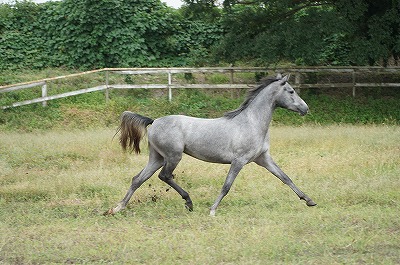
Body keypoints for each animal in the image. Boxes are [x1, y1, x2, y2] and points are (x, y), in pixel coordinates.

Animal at [104, 73, 318, 216]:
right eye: (291, 91)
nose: (306, 109)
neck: (251, 123)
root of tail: (154, 121)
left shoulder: (263, 158)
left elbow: (285, 178)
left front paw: (309, 200)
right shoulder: (239, 161)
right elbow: (226, 186)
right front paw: (212, 210)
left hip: (157, 157)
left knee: (137, 179)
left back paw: (117, 208)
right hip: (173, 156)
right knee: (164, 176)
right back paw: (188, 202)